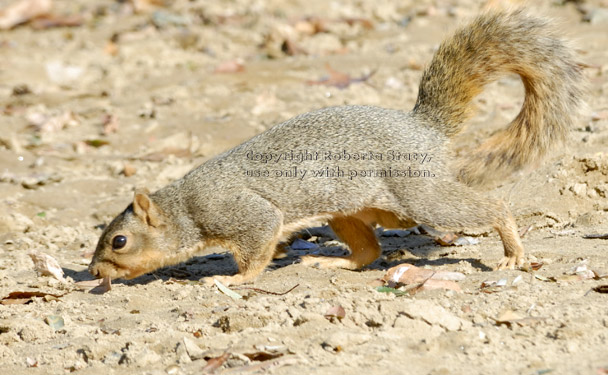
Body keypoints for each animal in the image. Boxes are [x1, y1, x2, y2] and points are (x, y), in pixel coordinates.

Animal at [89, 9, 584, 284]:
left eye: (119, 241)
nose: (94, 273)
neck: (184, 207)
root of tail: (422, 127)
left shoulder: (242, 212)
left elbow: (255, 248)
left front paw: (236, 279)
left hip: (417, 195)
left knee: (489, 208)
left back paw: (512, 251)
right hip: (351, 211)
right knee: (369, 251)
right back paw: (333, 265)